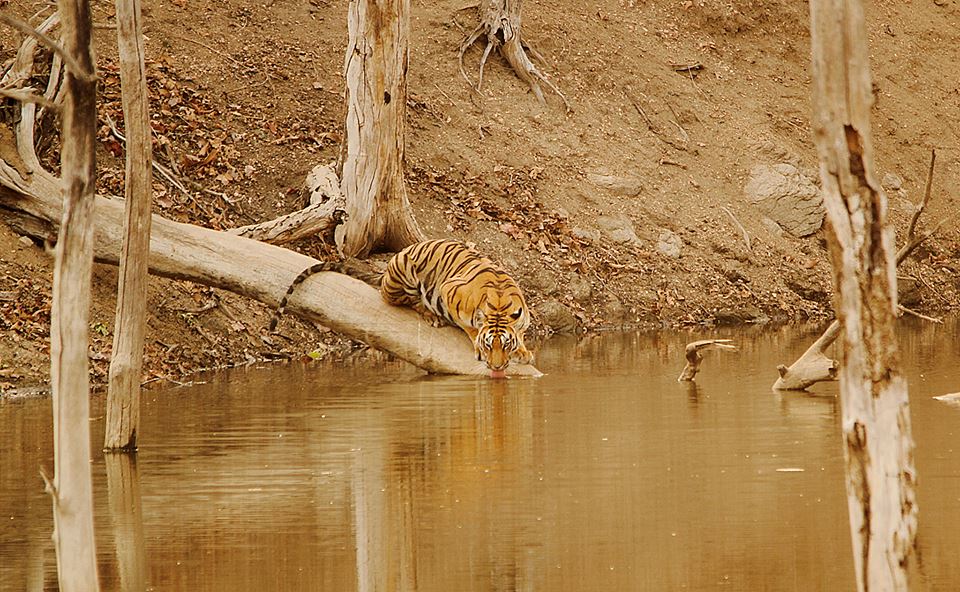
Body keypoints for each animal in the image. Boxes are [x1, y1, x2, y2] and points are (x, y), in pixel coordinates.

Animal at [270, 239, 534, 373]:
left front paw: (523, 351)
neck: (500, 304)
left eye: (505, 345)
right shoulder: (449, 290)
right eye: (489, 345)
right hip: (404, 275)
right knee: (401, 299)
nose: (497, 368)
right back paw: (432, 315)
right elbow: (470, 326)